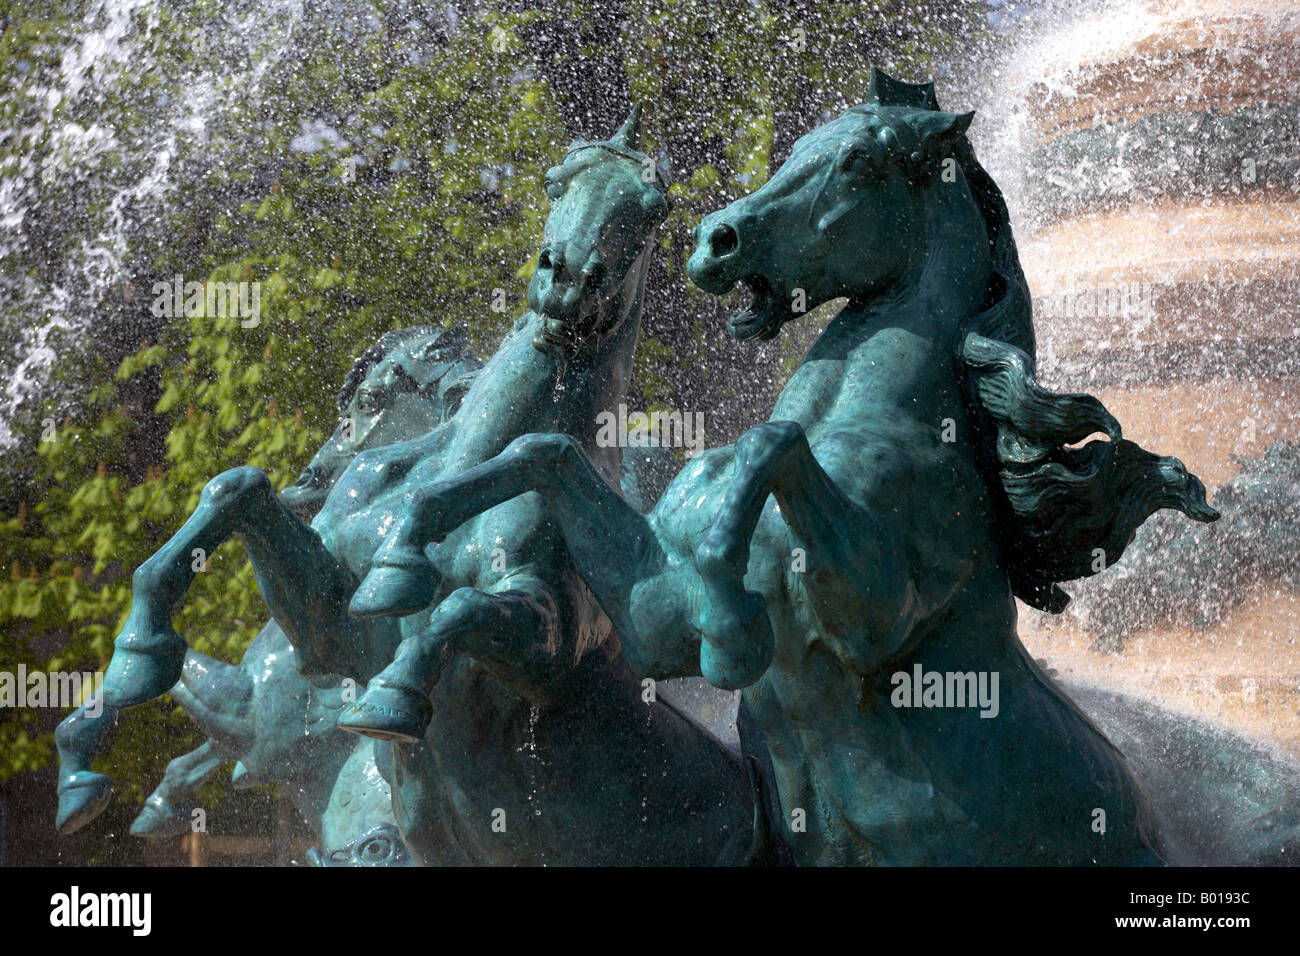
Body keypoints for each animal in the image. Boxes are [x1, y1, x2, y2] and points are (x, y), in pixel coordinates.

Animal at [358, 72, 1216, 868]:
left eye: (860, 161)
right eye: (801, 144)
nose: (716, 239)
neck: (865, 413)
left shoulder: (878, 615)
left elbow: (772, 444)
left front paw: (735, 627)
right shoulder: (652, 620)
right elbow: (542, 454)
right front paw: (396, 572)